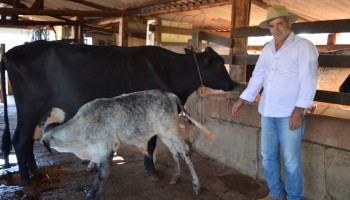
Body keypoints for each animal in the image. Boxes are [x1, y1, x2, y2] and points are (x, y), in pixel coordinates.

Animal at [0, 39, 235, 195]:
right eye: (220, 63)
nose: (234, 84)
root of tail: (12, 52)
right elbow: (151, 144)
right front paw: (151, 170)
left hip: (34, 111)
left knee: (27, 139)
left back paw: (34, 169)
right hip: (30, 108)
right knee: (20, 140)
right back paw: (27, 181)